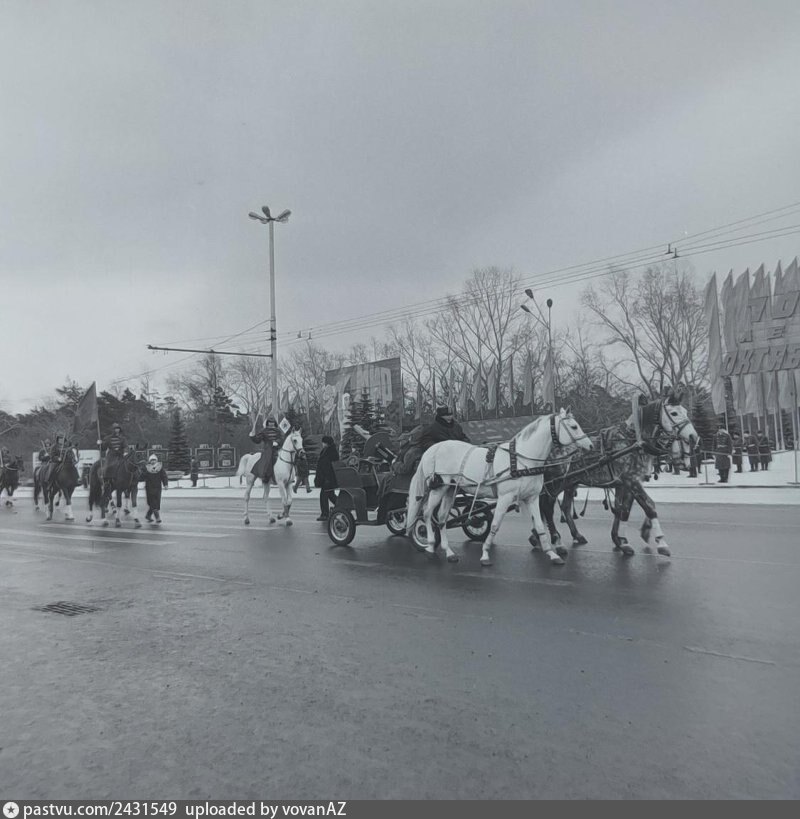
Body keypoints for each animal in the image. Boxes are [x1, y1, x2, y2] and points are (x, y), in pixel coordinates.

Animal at [406, 408, 593, 567]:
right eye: (574, 426)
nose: (591, 445)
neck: (520, 461)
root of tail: (433, 449)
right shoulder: (505, 497)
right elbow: (495, 525)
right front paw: (485, 554)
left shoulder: (532, 498)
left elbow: (540, 526)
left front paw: (552, 554)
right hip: (439, 488)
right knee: (427, 514)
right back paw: (430, 545)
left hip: (450, 490)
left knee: (442, 518)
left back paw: (448, 552)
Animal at [539, 393, 698, 557]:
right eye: (674, 413)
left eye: (685, 411)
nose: (694, 437)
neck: (632, 441)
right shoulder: (631, 481)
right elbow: (649, 506)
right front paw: (660, 542)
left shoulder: (626, 484)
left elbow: (623, 510)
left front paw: (621, 540)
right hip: (554, 482)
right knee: (546, 506)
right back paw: (554, 540)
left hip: (570, 483)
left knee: (563, 507)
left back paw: (572, 535)